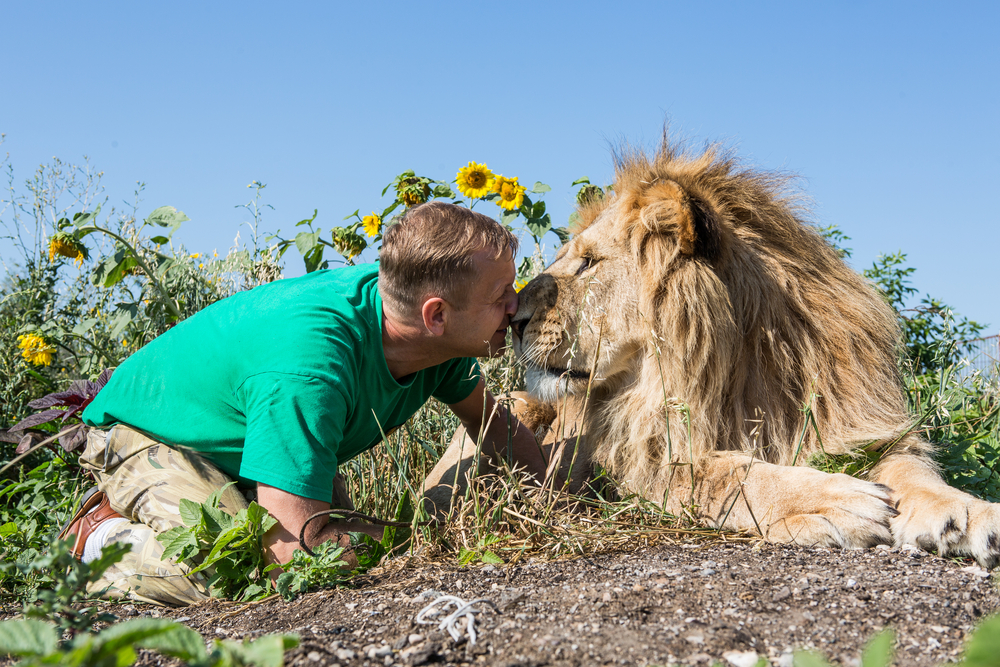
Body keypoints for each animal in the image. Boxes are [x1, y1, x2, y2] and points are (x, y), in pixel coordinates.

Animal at [423, 135, 1000, 568]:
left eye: (587, 263)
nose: (514, 321)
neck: (741, 367)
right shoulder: (631, 463)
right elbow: (727, 472)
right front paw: (834, 501)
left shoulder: (857, 425)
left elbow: (913, 470)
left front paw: (970, 514)